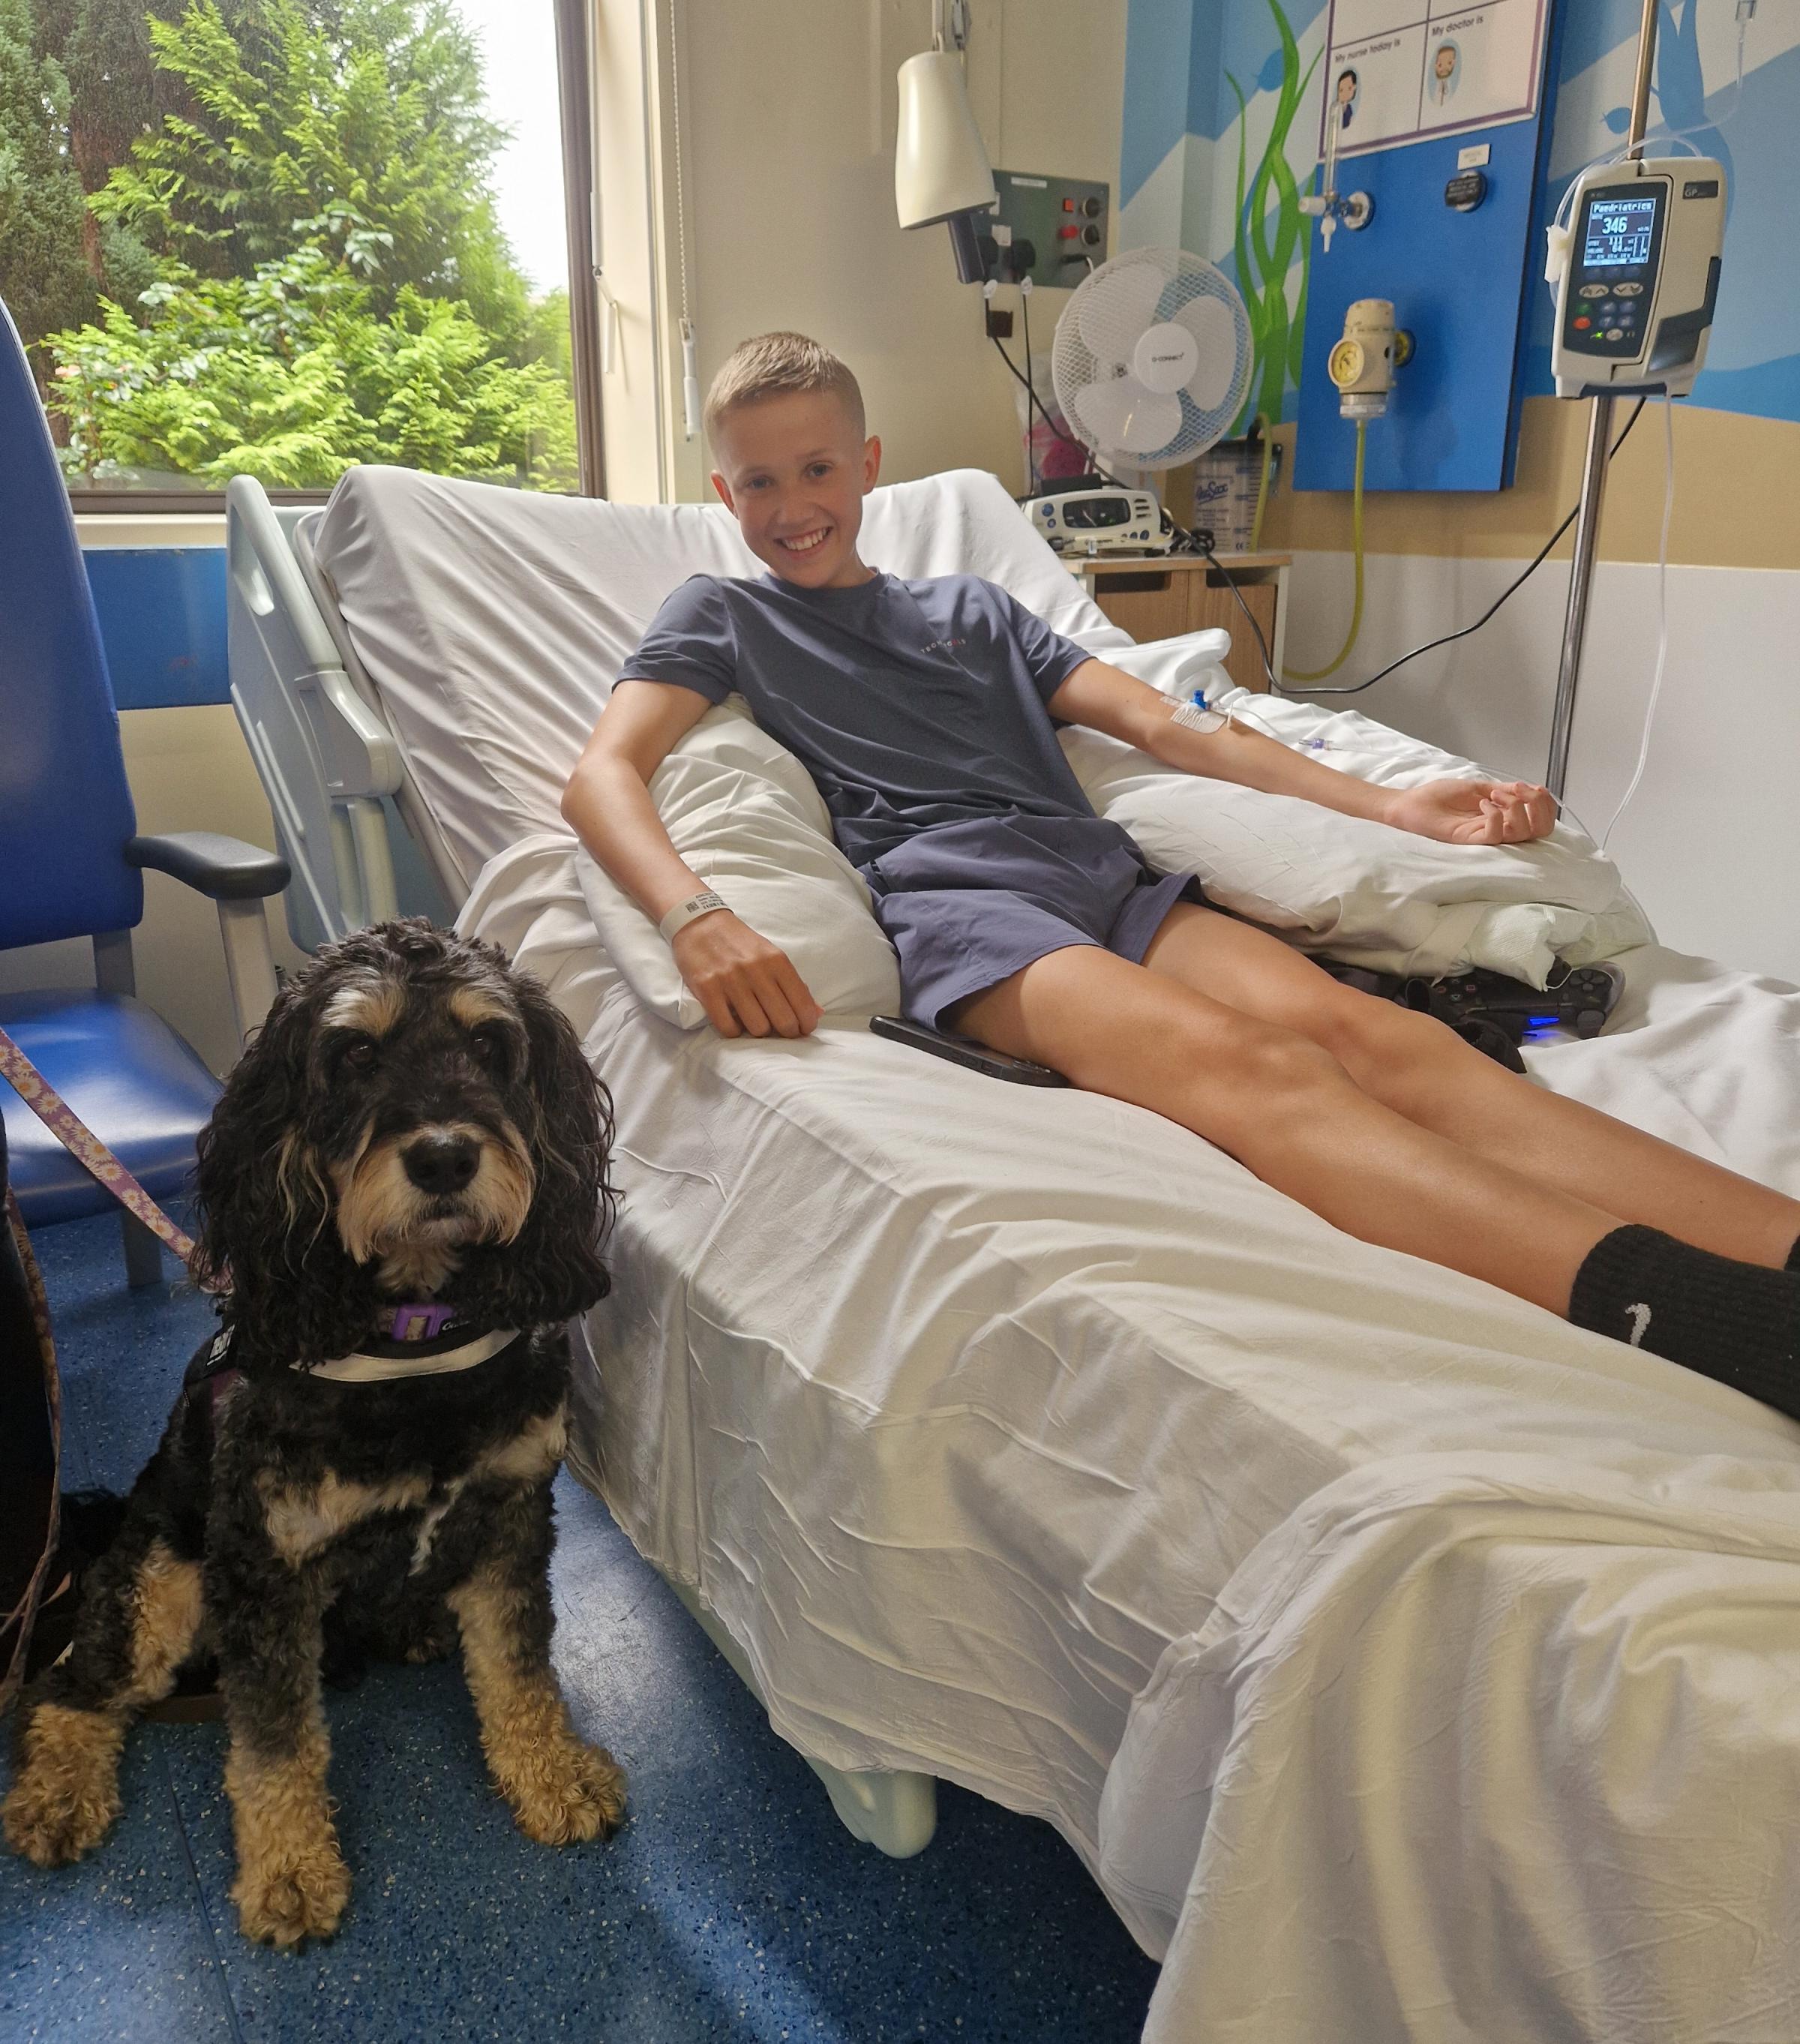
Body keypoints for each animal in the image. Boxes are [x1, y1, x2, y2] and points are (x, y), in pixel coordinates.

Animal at [5, 923, 625, 1946]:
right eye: (356, 1054)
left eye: (489, 1045)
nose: (445, 1158)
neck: (417, 1338)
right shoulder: (265, 1567)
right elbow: (274, 1740)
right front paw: (291, 1868)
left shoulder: (510, 1515)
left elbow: (519, 1664)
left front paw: (553, 1770)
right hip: (164, 1583)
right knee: (71, 1684)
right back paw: (57, 1791)